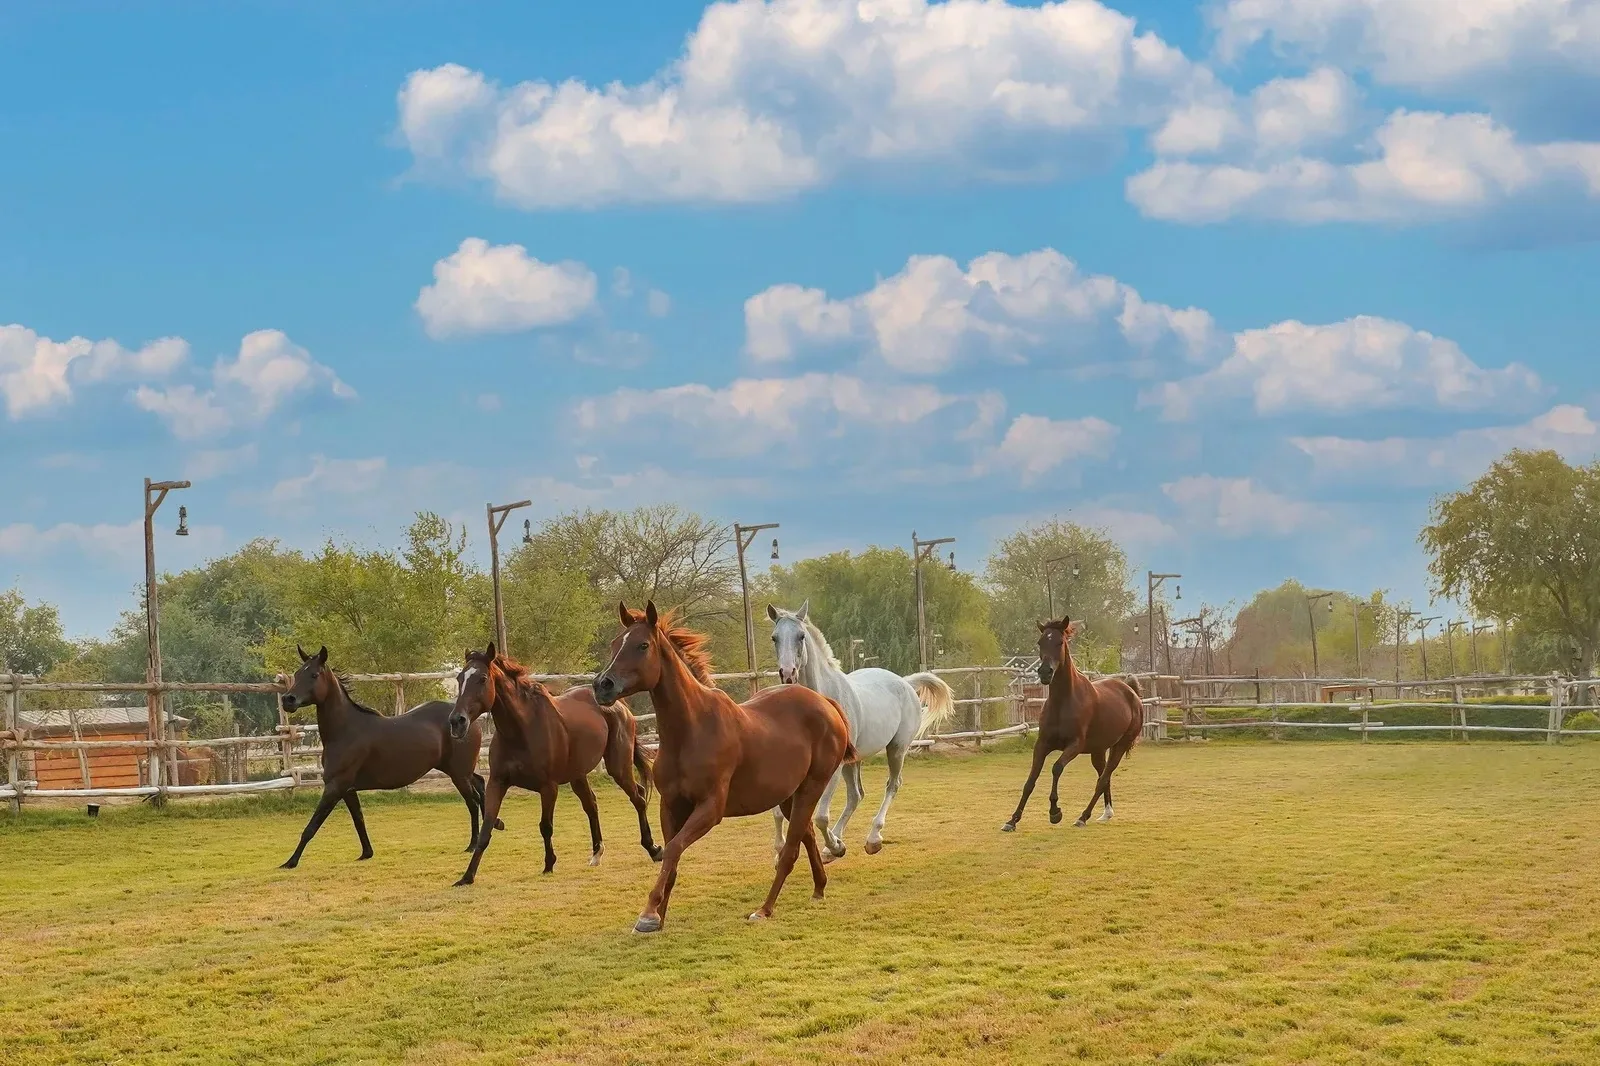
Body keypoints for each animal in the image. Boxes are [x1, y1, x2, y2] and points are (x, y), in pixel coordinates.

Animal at [278, 644, 500, 868]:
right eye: (297, 673)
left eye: (314, 675)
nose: (288, 700)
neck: (345, 731)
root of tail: (467, 719)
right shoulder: (347, 789)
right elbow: (359, 820)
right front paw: (366, 853)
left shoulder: (334, 787)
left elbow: (311, 826)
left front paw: (290, 862)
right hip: (459, 770)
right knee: (480, 786)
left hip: (459, 774)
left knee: (472, 801)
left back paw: (472, 844)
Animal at [448, 642, 661, 886]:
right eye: (459, 678)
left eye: (482, 678)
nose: (456, 721)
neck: (521, 730)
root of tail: (619, 706)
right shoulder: (497, 783)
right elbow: (486, 829)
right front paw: (467, 876)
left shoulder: (548, 787)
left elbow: (545, 826)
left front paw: (549, 863)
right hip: (578, 775)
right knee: (592, 804)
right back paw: (597, 853)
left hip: (618, 766)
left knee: (638, 796)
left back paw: (654, 849)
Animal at [593, 601, 855, 933]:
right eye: (616, 644)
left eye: (642, 645)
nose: (602, 685)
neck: (691, 730)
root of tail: (826, 703)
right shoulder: (671, 806)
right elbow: (671, 856)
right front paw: (659, 916)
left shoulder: (710, 809)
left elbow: (674, 849)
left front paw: (649, 914)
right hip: (787, 796)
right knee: (806, 834)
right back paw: (819, 888)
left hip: (812, 787)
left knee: (791, 849)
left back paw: (764, 909)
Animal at [766, 601, 955, 861]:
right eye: (774, 637)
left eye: (801, 636)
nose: (788, 673)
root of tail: (906, 682)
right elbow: (779, 812)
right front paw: (780, 852)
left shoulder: (832, 769)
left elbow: (820, 816)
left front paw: (837, 846)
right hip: (854, 761)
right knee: (856, 795)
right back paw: (833, 846)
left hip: (896, 749)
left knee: (892, 785)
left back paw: (871, 839)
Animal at [1002, 617, 1143, 832]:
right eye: (1040, 642)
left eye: (1060, 642)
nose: (1045, 672)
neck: (1063, 701)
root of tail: (1131, 692)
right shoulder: (1042, 745)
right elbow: (1030, 780)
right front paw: (1012, 820)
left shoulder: (1074, 745)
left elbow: (1056, 768)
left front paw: (1055, 812)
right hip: (1098, 750)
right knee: (1104, 777)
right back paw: (1106, 813)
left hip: (1119, 746)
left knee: (1103, 779)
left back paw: (1083, 817)